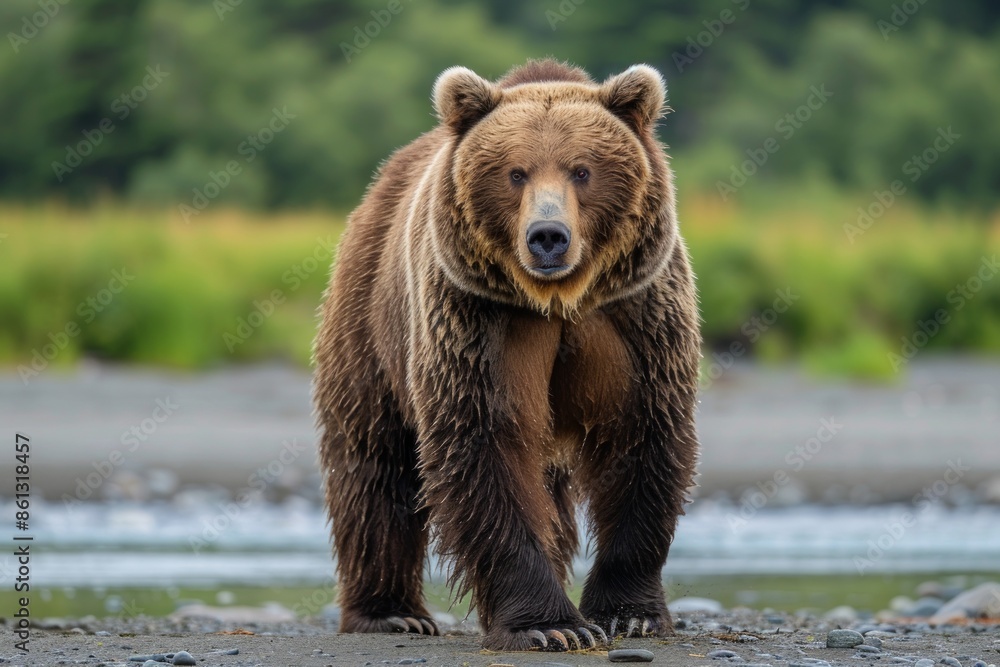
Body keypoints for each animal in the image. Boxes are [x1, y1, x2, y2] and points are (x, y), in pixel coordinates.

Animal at [313, 59, 701, 652]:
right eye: (516, 173)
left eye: (582, 170)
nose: (548, 236)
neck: (558, 299)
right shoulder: (478, 320)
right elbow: (485, 442)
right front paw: (549, 624)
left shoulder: (635, 315)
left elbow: (644, 438)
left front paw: (626, 614)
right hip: (369, 317)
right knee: (375, 462)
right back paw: (391, 613)